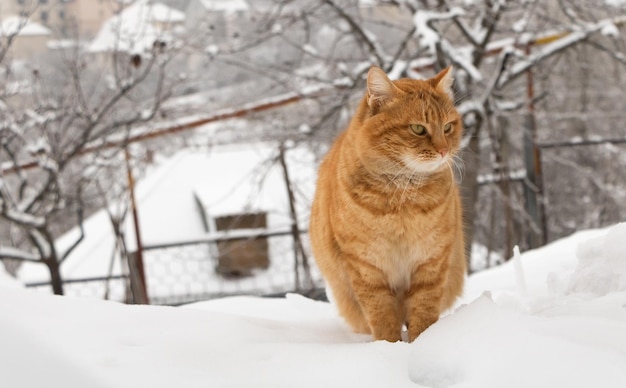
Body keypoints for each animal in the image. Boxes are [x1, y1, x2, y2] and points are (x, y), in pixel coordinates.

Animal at [310, 66, 466, 342]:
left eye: (448, 127)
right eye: (418, 129)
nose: (444, 151)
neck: (401, 198)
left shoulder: (431, 261)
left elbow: (424, 313)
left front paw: (423, 343)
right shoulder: (366, 269)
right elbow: (382, 317)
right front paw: (388, 347)